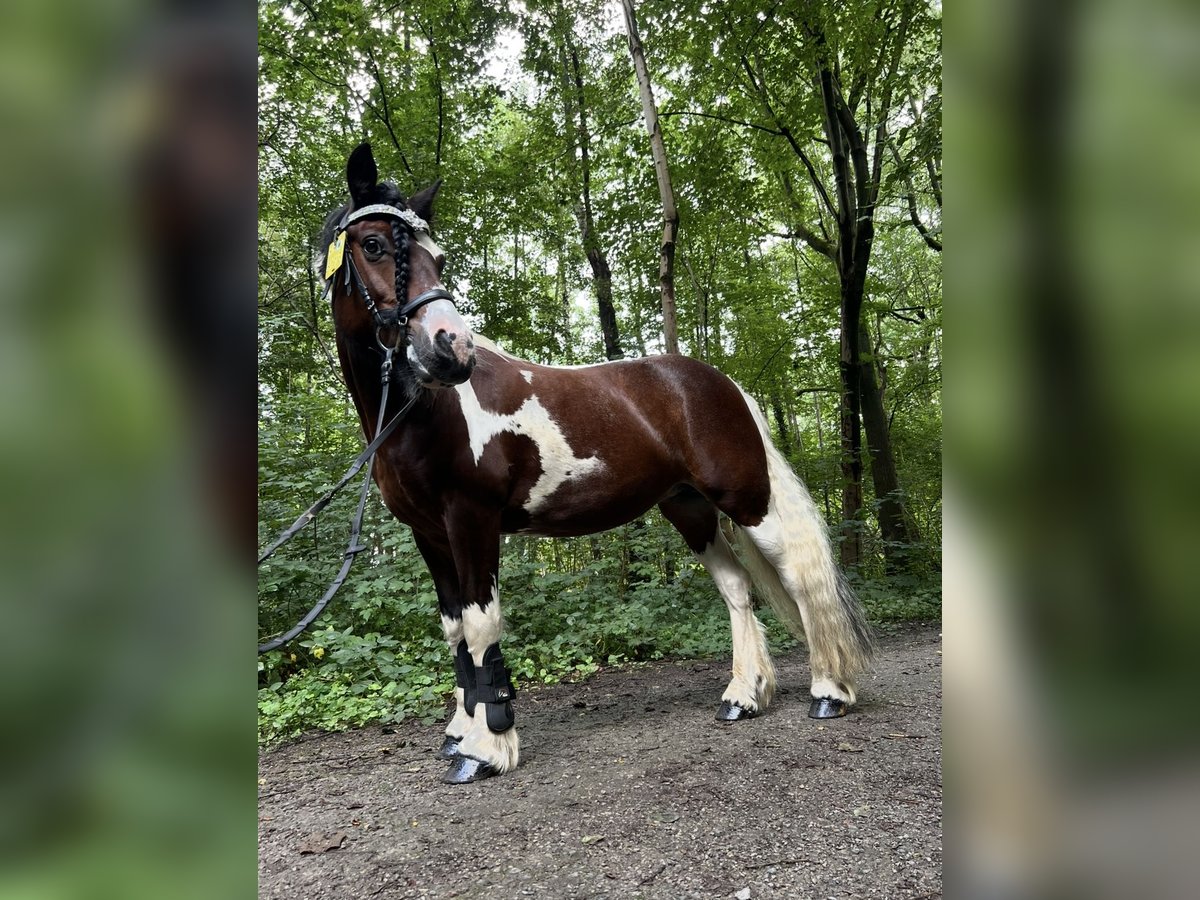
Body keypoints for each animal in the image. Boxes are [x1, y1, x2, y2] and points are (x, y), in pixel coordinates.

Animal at [316, 142, 873, 783]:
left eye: (438, 256)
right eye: (373, 245)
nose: (451, 347)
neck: (426, 412)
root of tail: (721, 383)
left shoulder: (471, 520)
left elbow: (481, 626)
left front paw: (487, 748)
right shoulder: (429, 533)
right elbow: (454, 629)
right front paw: (459, 732)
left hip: (747, 501)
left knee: (800, 580)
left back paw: (828, 692)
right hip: (688, 508)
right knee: (736, 587)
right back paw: (743, 695)